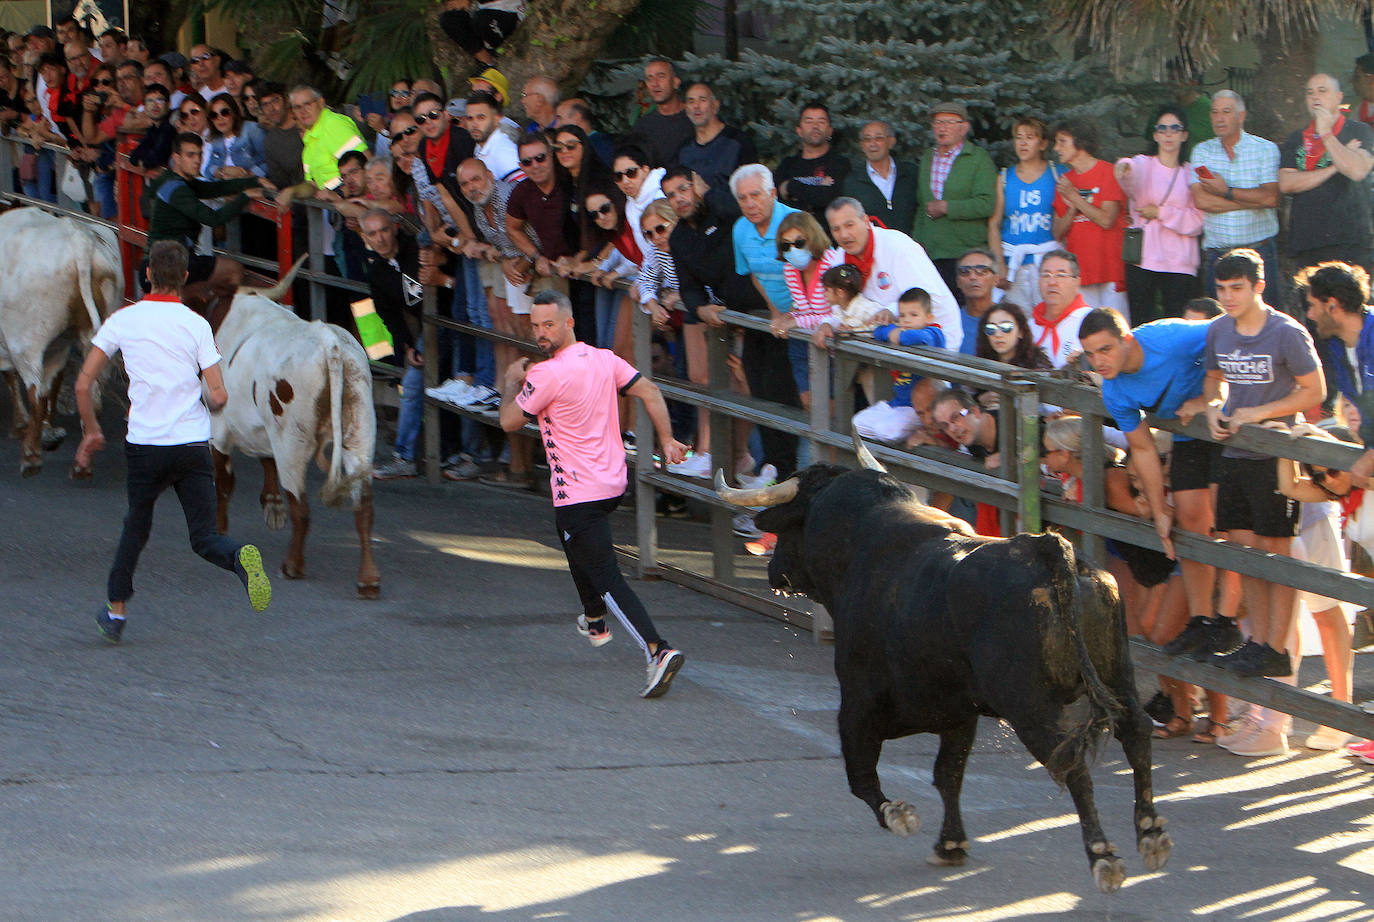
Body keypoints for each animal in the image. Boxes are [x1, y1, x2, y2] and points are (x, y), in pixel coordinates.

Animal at [719, 464, 1170, 890]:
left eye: (788, 528)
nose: (773, 570)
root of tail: (1048, 549)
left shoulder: (858, 701)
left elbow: (860, 773)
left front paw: (898, 814)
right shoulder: (959, 715)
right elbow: (947, 775)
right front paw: (950, 843)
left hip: (1030, 709)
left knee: (1072, 765)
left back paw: (1103, 856)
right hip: (1118, 677)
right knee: (1136, 731)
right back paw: (1150, 833)